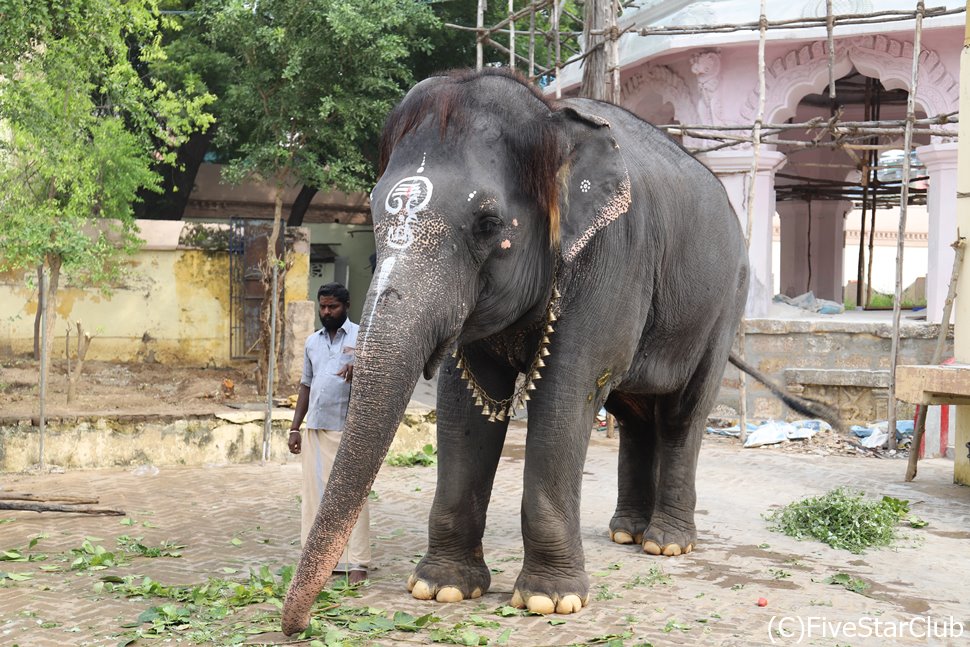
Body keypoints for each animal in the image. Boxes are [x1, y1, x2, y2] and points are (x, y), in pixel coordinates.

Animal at [280, 68, 832, 636]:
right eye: (371, 211)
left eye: (487, 223)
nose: (297, 626)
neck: (550, 121)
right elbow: (464, 404)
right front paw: (442, 588)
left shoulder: (613, 253)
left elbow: (566, 391)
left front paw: (551, 600)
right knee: (635, 416)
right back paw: (627, 532)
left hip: (725, 304)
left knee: (682, 414)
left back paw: (666, 544)